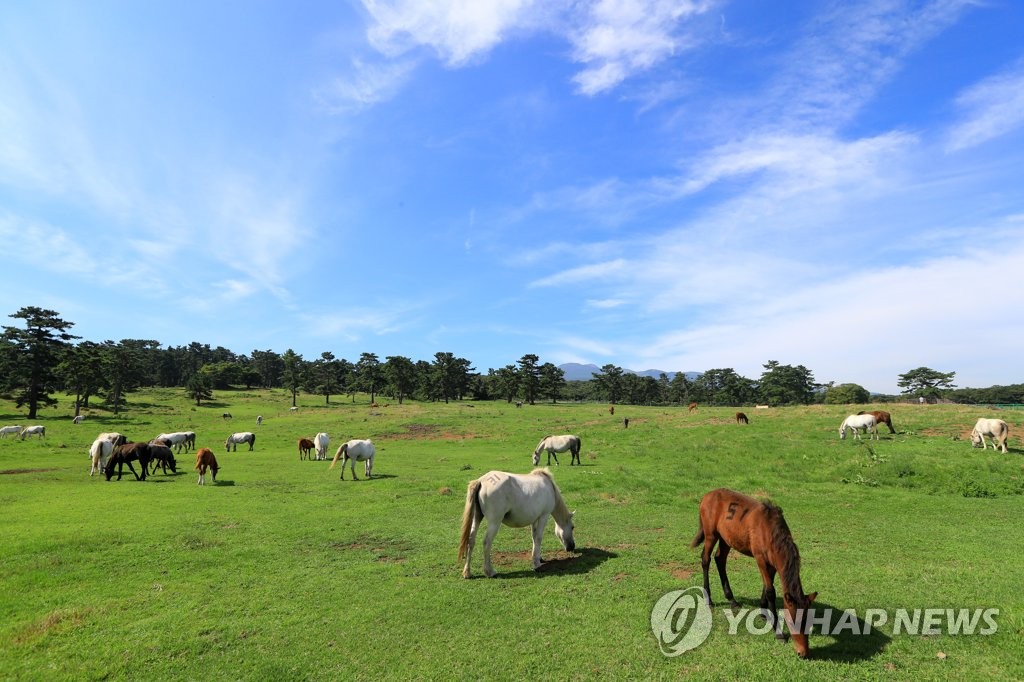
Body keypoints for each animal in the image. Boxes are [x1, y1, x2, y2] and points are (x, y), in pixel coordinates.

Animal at [691, 488, 817, 658]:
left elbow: (766, 586)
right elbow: (770, 591)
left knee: (720, 559)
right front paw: (778, 632)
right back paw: (708, 599)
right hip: (711, 534)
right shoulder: (760, 559)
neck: (770, 531)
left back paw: (732, 600)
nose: (802, 652)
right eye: (791, 622)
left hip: (726, 538)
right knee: (705, 560)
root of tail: (707, 496)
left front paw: (764, 612)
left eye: (809, 622)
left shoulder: (773, 564)